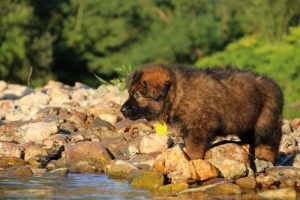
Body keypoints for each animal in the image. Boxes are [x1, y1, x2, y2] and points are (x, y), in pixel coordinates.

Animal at [120, 65, 282, 163]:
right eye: (130, 93)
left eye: (138, 95)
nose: (122, 110)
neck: (178, 95)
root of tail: (275, 85)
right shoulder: (188, 130)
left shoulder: (199, 128)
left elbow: (194, 148)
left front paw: (192, 160)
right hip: (245, 122)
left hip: (266, 119)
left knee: (270, 141)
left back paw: (265, 158)